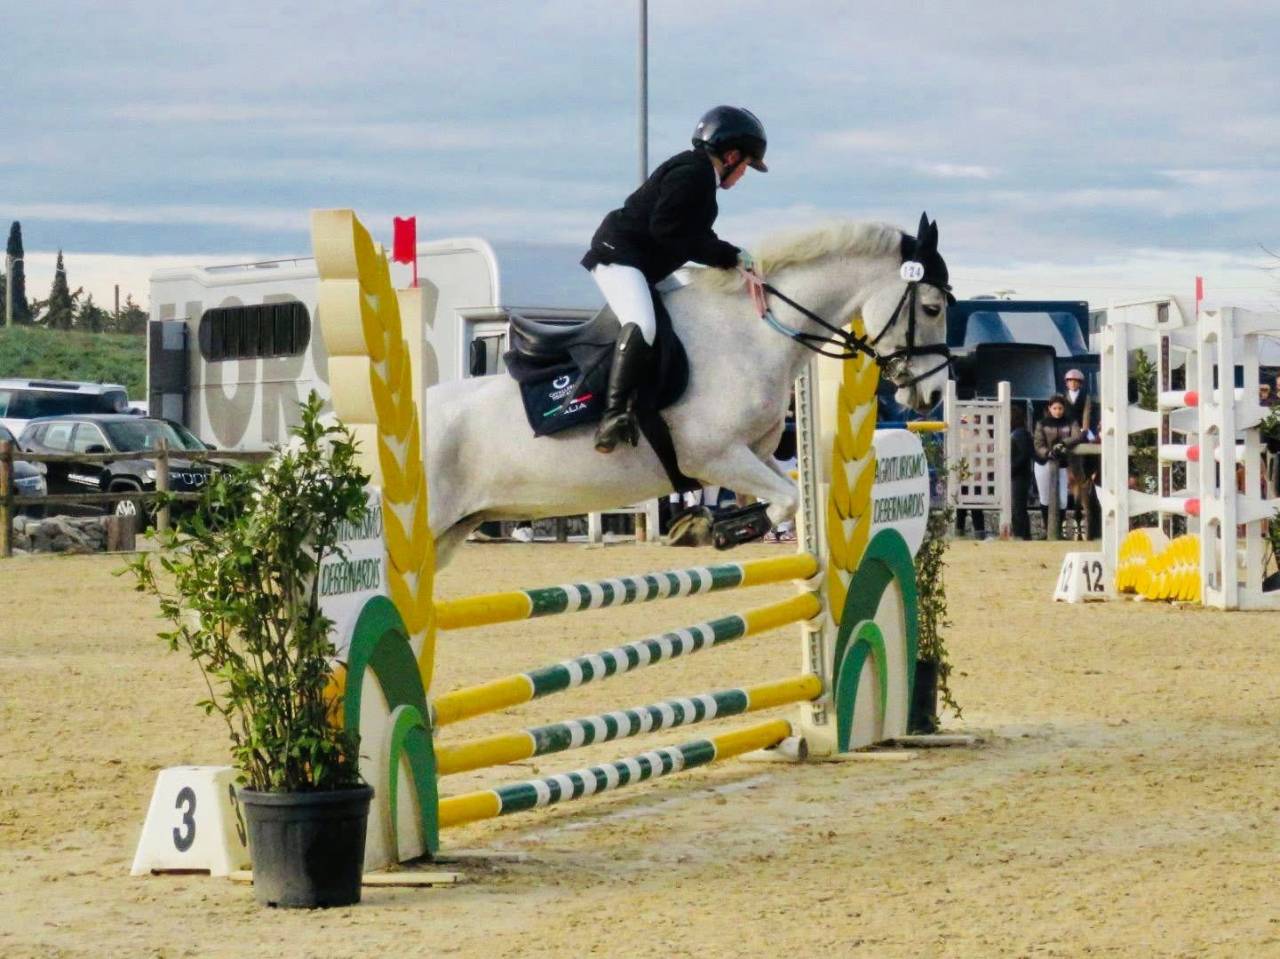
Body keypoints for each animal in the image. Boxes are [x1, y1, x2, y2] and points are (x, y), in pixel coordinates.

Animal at [425, 216, 952, 566]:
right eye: (931, 308)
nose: (929, 394)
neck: (751, 333)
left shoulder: (757, 454)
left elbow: (791, 495)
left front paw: (704, 523)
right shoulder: (713, 456)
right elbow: (785, 500)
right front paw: (715, 529)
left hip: (452, 531)